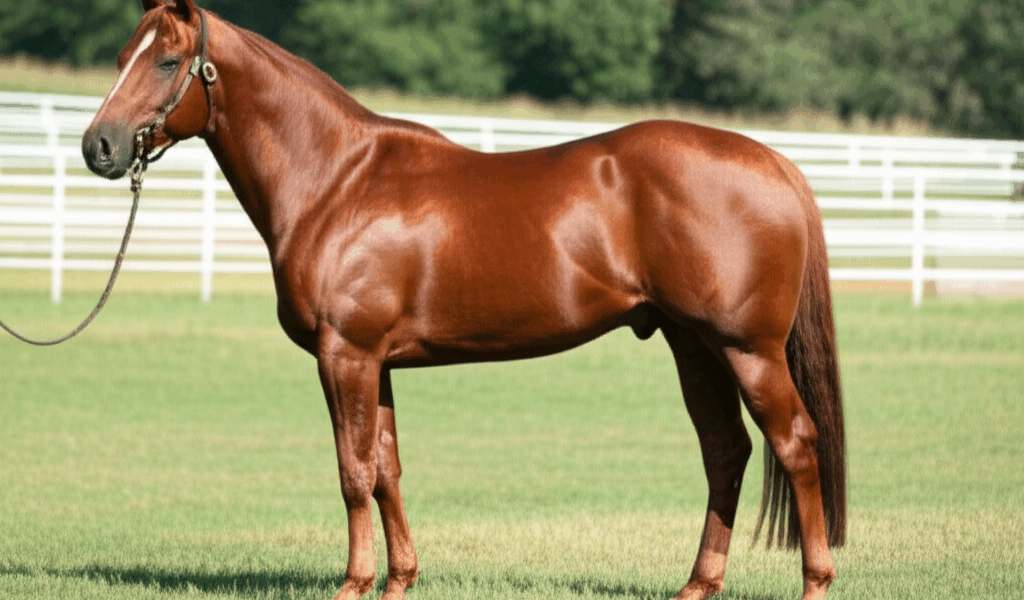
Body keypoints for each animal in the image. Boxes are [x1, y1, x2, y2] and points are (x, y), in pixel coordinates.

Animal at [81, 1, 846, 599]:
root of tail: (776, 164)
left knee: (795, 444)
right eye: (122, 56)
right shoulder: (377, 363)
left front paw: (354, 582)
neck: (336, 181)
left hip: (746, 349)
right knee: (726, 451)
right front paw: (398, 580)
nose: (99, 147)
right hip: (694, 346)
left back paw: (814, 581)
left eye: (166, 61)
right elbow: (386, 467)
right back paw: (698, 583)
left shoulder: (344, 356)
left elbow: (353, 470)